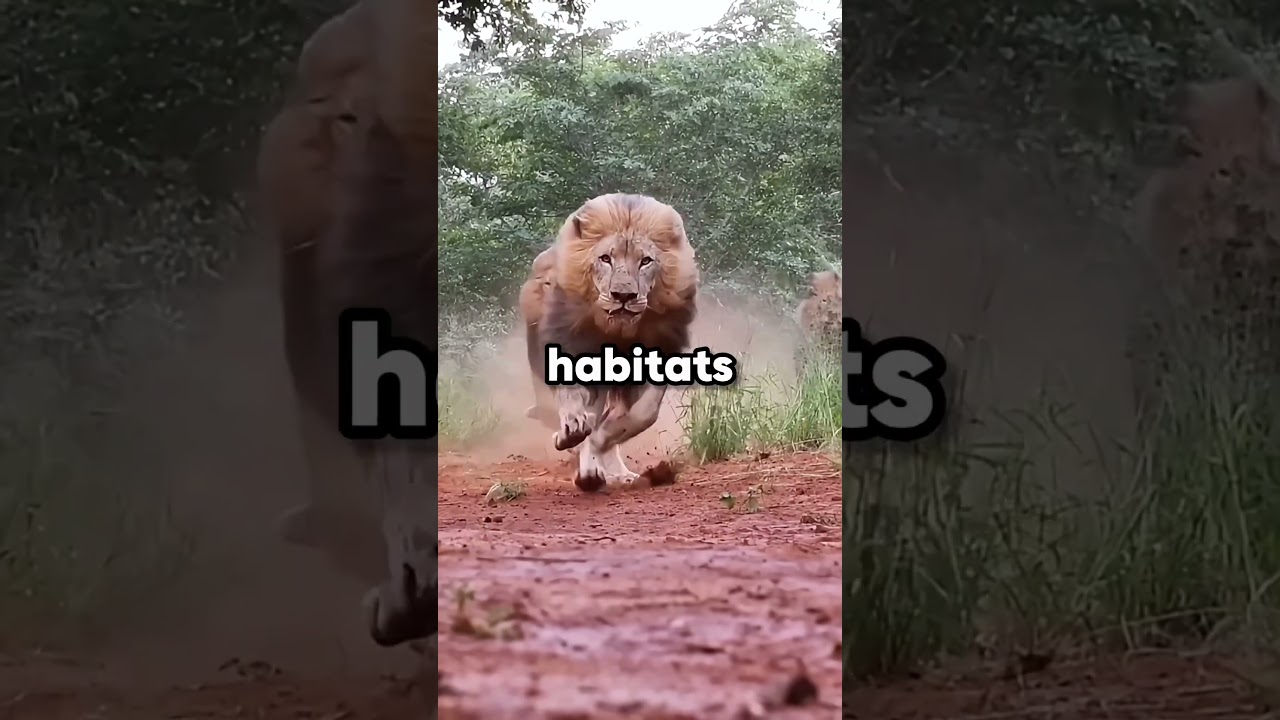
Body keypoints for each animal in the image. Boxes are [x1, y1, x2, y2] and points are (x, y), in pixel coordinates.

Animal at [525, 193, 699, 490]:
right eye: (605, 258)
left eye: (646, 261)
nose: (623, 296)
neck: (616, 330)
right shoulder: (569, 341)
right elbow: (572, 399)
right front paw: (572, 430)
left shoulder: (660, 350)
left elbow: (642, 415)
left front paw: (601, 441)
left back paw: (606, 472)